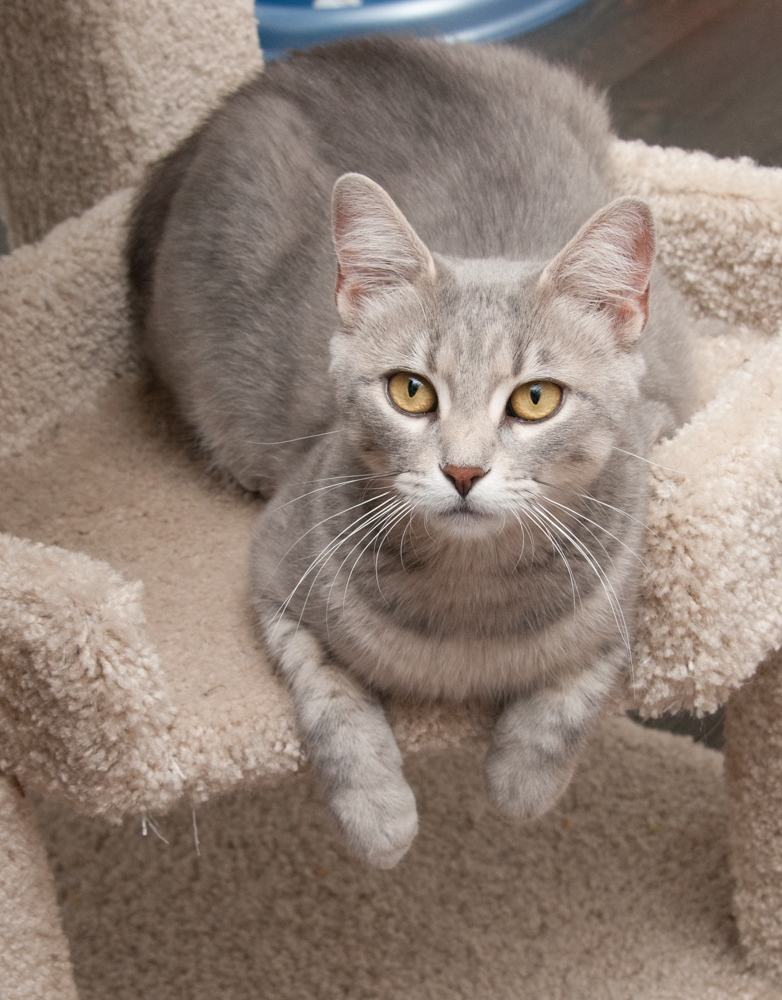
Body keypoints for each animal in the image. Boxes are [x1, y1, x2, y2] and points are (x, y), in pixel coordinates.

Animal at [129, 37, 692, 868]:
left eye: (536, 399)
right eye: (410, 391)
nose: (462, 470)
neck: (469, 609)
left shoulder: (638, 531)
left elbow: (578, 682)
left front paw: (520, 783)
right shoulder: (275, 572)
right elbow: (330, 697)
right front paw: (379, 817)